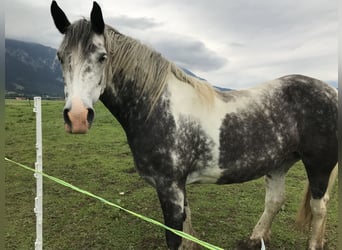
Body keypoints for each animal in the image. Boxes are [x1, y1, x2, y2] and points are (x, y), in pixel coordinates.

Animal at [50, 1, 340, 248]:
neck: (157, 108)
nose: (77, 117)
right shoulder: (178, 188)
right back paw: (255, 238)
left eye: (102, 56)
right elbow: (186, 235)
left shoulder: (170, 188)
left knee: (319, 207)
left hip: (319, 166)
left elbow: (175, 238)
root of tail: (331, 92)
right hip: (279, 162)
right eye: (60, 57)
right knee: (275, 200)